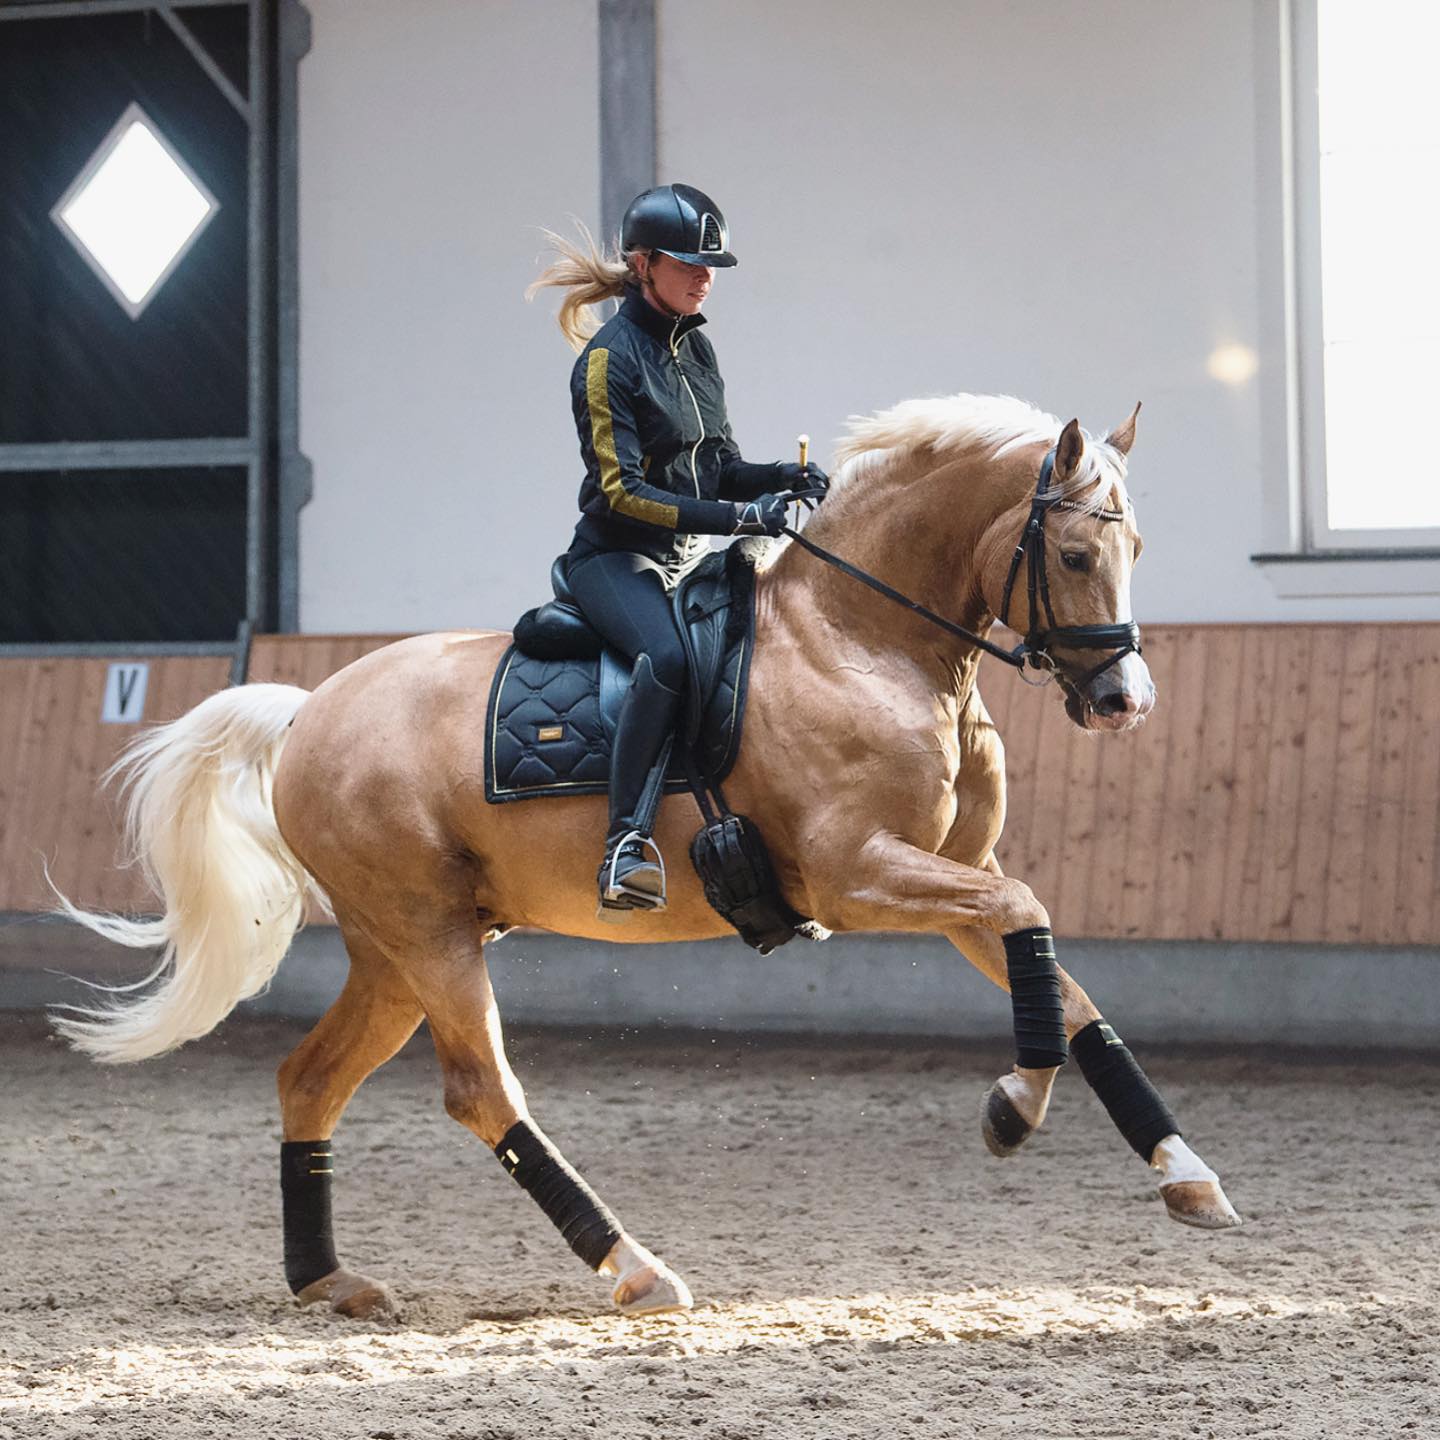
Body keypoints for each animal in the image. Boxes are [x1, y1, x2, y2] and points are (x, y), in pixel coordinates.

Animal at [56, 391, 1244, 1319]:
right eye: (1077, 554)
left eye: (1136, 553)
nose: (1124, 701)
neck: (867, 642)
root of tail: (309, 712)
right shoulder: (859, 875)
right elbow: (1033, 919)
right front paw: (1013, 1110)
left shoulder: (954, 883)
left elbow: (1064, 984)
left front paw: (1186, 1176)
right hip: (427, 937)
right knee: (481, 1091)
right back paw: (633, 1268)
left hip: (392, 951)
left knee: (310, 1080)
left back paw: (328, 1281)